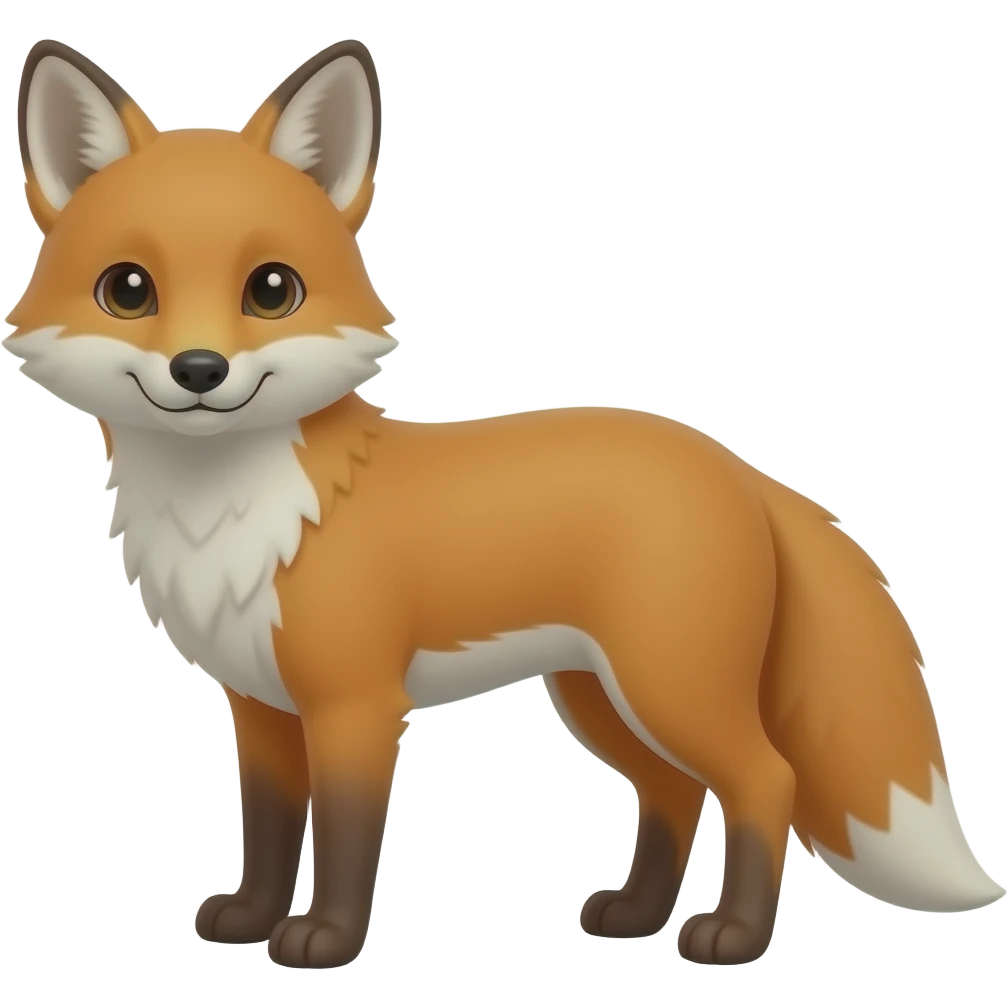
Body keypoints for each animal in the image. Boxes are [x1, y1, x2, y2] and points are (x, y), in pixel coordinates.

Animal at [7, 36, 1004, 971]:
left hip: (670, 687)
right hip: (602, 698)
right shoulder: (259, 707)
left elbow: (344, 838)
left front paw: (325, 939)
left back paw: (733, 936)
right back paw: (636, 916)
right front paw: (251, 919)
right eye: (129, 289)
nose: (200, 370)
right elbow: (268, 828)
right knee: (674, 791)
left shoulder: (356, 706)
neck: (234, 514)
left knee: (767, 781)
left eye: (272, 289)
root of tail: (733, 464)